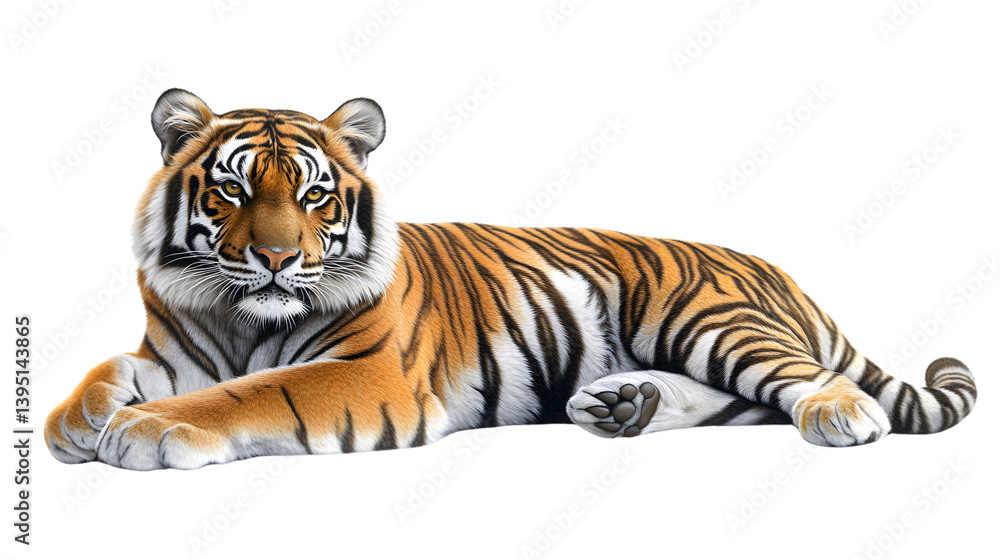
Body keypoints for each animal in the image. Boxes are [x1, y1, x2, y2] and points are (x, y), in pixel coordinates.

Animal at [44, 89, 977, 470]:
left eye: (312, 194)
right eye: (234, 189)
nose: (275, 258)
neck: (240, 316)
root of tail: (779, 271)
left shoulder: (368, 373)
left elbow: (248, 394)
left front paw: (147, 428)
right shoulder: (176, 350)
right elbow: (110, 368)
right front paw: (73, 420)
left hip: (708, 321)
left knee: (803, 382)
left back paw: (841, 419)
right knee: (745, 404)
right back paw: (622, 407)